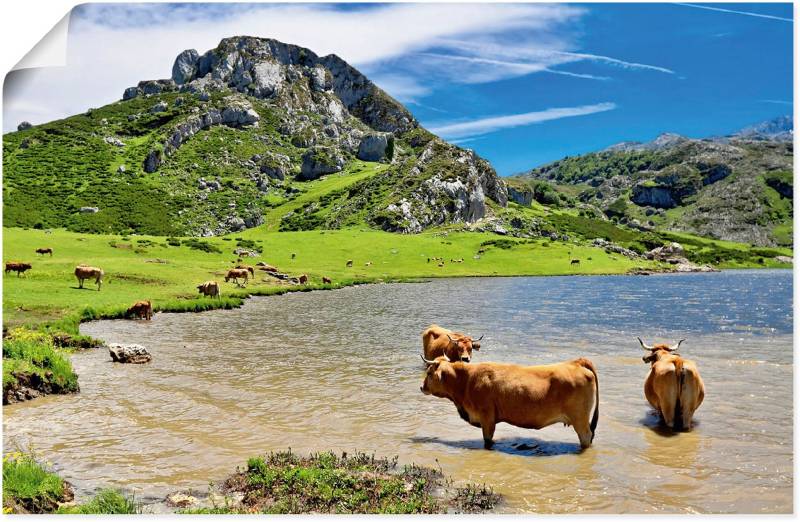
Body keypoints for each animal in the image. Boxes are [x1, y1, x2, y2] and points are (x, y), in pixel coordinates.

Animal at [418, 356, 600, 448]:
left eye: (429, 373)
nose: (421, 387)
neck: (466, 381)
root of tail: (576, 362)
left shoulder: (487, 418)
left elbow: (487, 440)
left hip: (580, 419)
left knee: (586, 437)